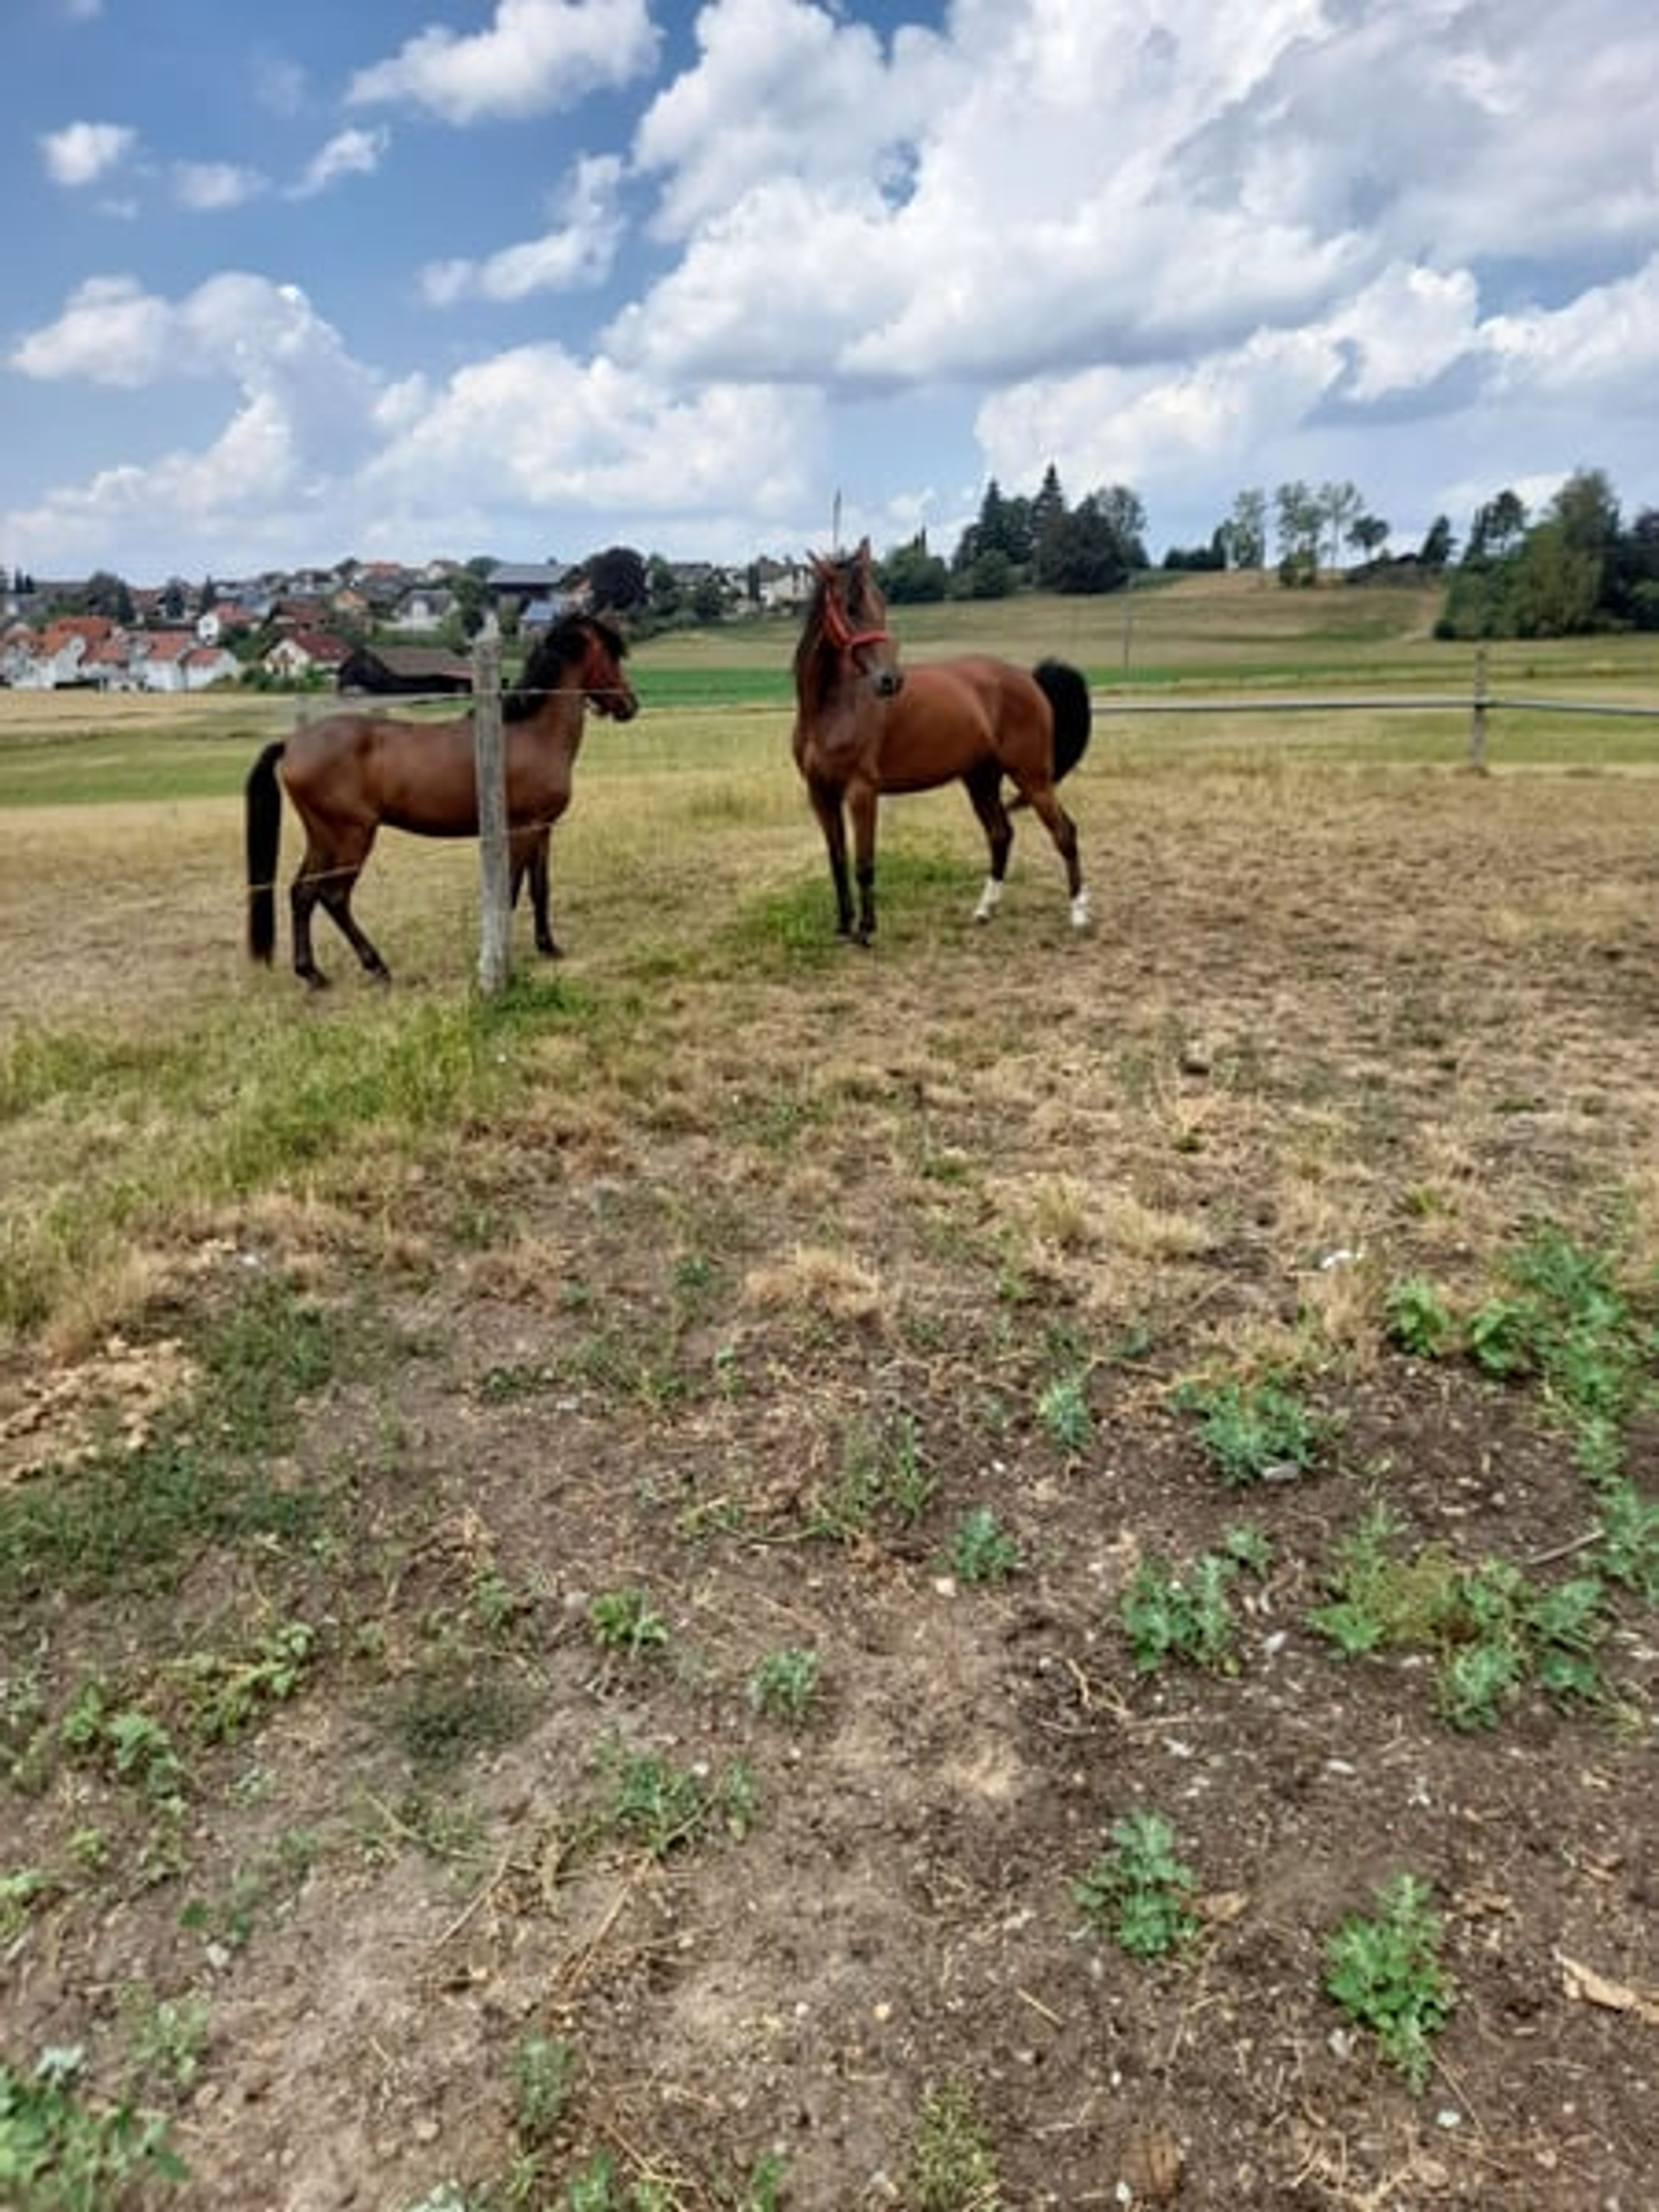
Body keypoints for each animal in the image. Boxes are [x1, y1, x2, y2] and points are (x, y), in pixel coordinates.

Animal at [245, 612, 637, 988]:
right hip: (351, 837)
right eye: (610, 654)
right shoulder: (522, 830)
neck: (531, 733)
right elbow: (508, 893)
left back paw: (312, 973)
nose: (630, 706)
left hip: (323, 839)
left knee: (302, 894)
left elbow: (540, 889)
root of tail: (292, 744)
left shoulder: (543, 829)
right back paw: (376, 966)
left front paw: (549, 947)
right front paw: (499, 958)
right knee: (333, 897)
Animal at [790, 539, 1091, 944]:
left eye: (881, 602)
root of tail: (1028, 678)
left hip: (1033, 778)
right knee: (1001, 835)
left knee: (1065, 833)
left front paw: (866, 931)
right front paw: (843, 926)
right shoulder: (821, 794)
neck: (831, 710)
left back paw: (1078, 913)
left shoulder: (861, 791)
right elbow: (837, 861)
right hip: (981, 780)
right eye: (850, 607)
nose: (890, 680)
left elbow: (864, 863)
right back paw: (984, 910)